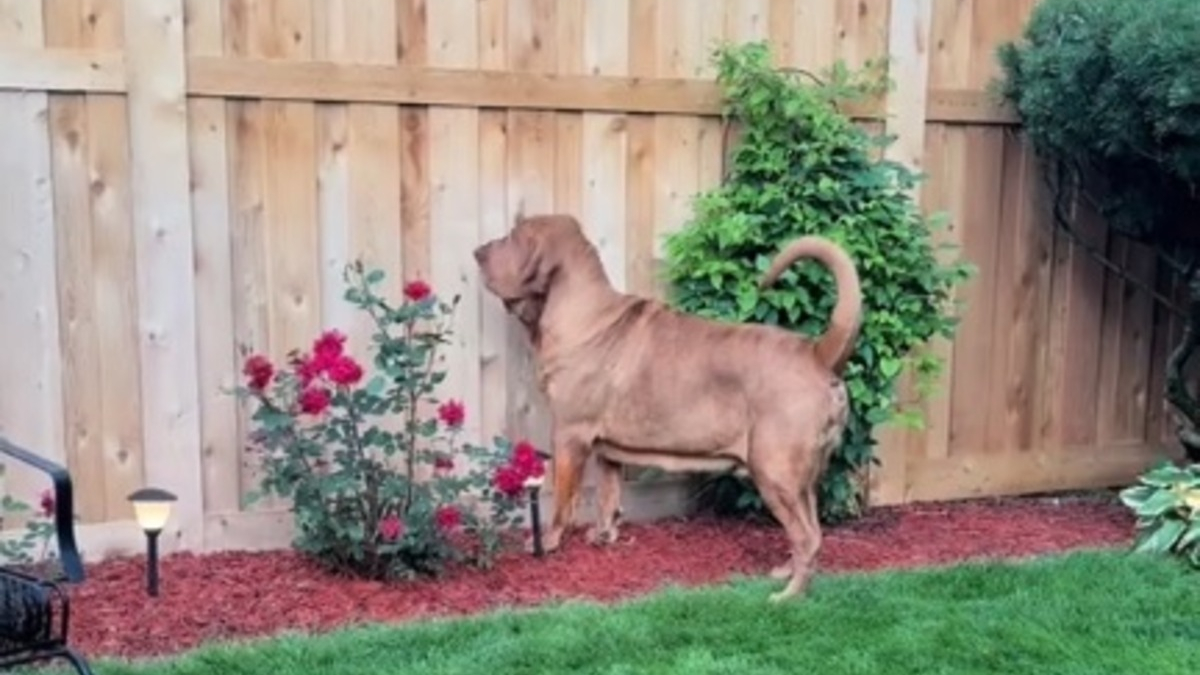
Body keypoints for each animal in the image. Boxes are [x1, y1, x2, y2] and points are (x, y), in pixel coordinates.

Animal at [470, 211, 864, 598]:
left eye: (515, 236)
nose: (477, 251)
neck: (580, 310)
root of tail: (818, 353)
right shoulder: (607, 449)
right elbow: (608, 495)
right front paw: (604, 536)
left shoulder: (569, 433)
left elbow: (564, 499)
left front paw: (548, 542)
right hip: (802, 479)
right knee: (811, 529)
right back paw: (785, 571)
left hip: (776, 471)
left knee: (808, 537)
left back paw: (787, 596)